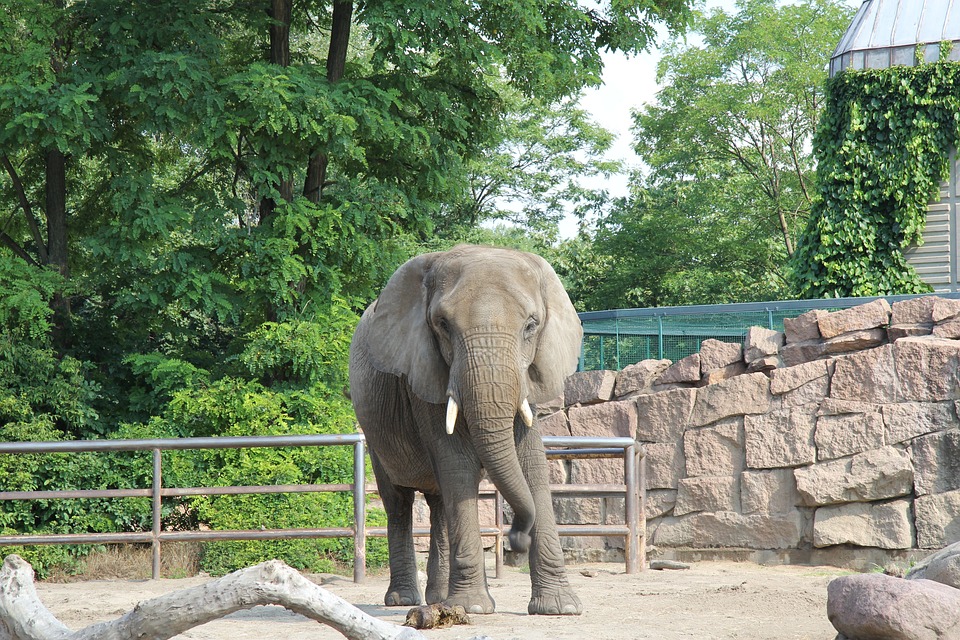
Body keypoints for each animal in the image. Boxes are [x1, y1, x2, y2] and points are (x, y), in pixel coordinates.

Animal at [348, 244, 583, 616]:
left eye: (531, 326)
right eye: (443, 325)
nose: (517, 538)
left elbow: (531, 464)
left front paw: (560, 608)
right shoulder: (425, 372)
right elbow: (457, 462)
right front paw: (473, 608)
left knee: (440, 504)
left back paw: (438, 600)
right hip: (373, 431)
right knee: (399, 502)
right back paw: (404, 600)